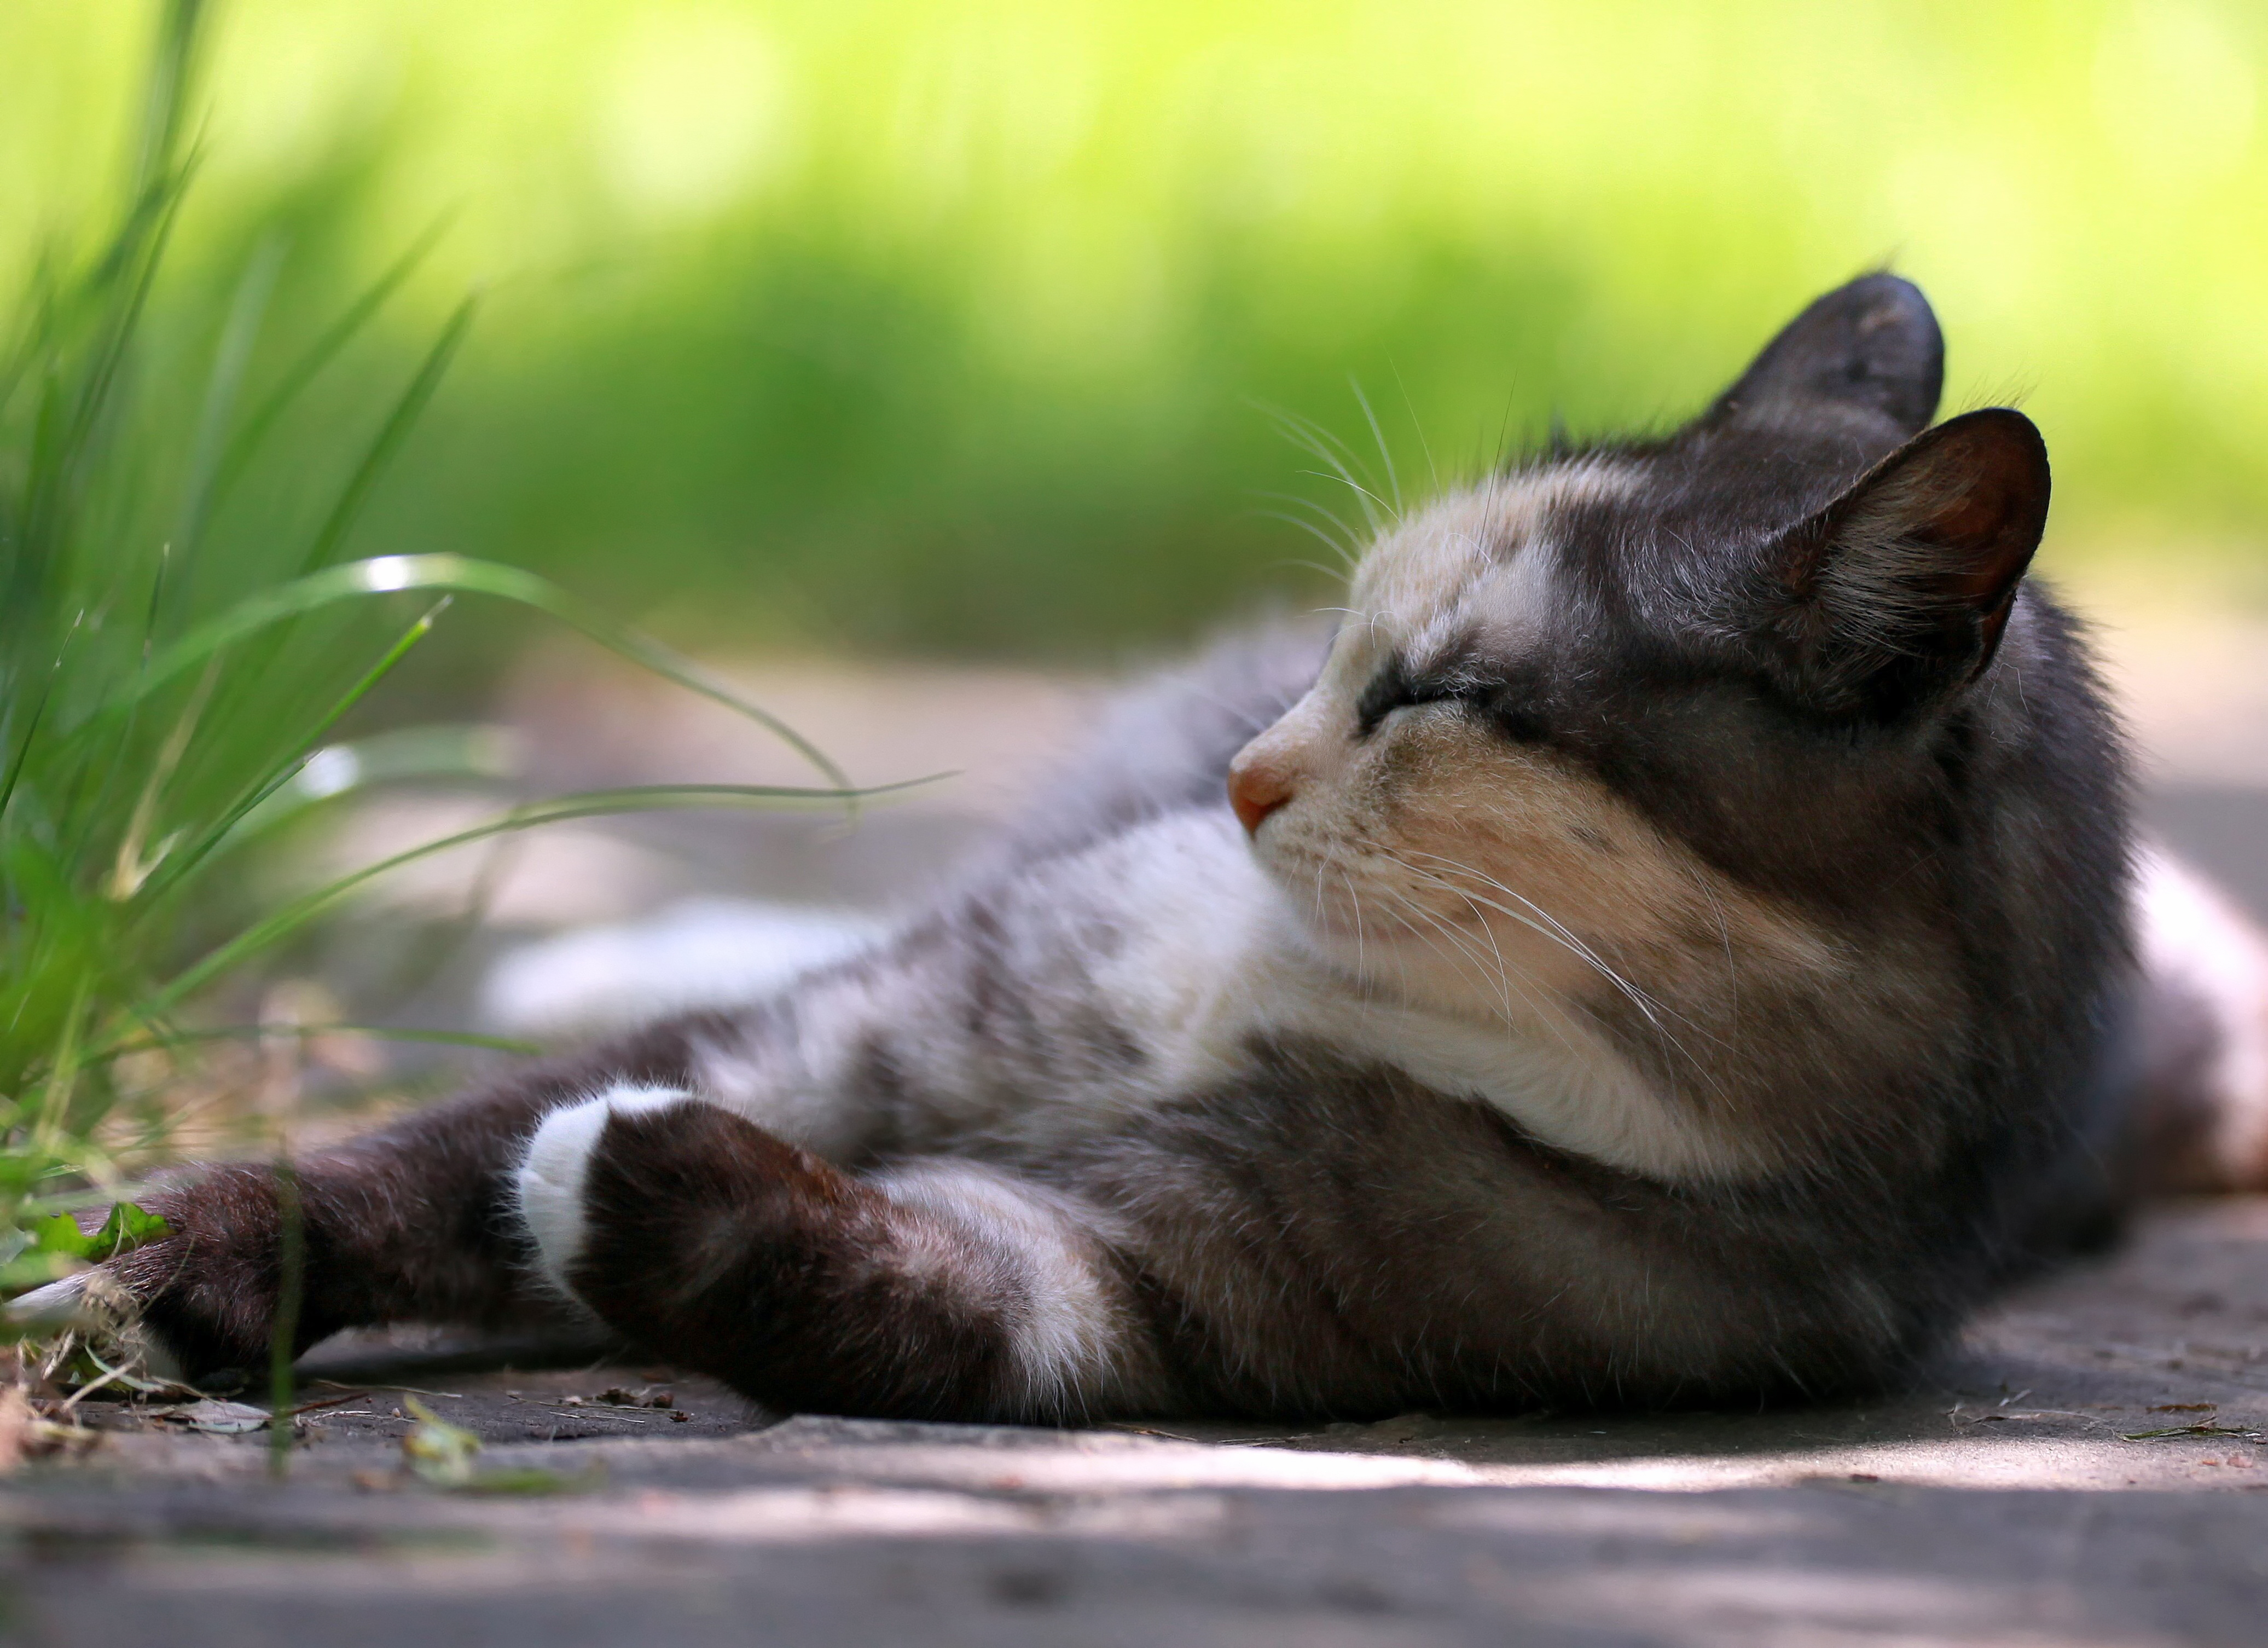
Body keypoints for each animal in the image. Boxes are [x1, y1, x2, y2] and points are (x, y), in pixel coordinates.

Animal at [18, 278, 2268, 1425]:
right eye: (1341, 646)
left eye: (1448, 693)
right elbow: (445, 1143)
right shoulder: (878, 1017)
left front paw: (626, 1179)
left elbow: (915, 1282)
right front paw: (166, 1250)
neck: (1293, 999)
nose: (1248, 780)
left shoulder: (1192, 1280)